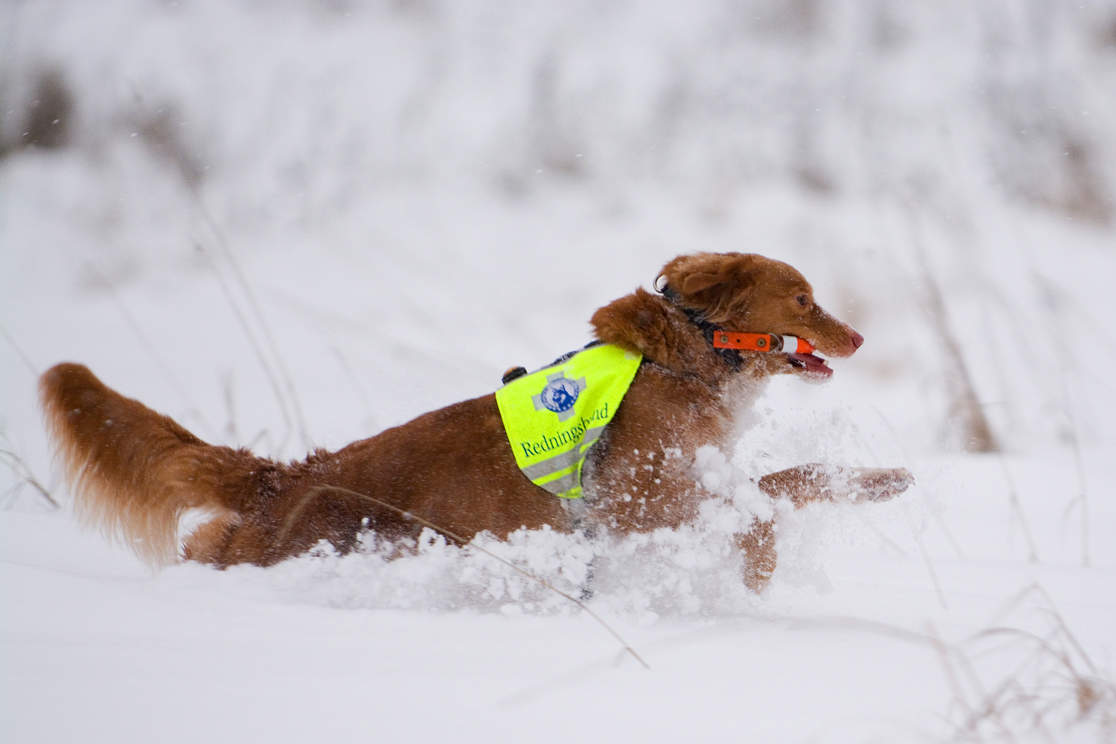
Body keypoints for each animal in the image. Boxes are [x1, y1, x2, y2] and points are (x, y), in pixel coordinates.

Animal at [41, 254, 915, 593]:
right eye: (802, 300)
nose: (858, 337)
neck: (690, 362)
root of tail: (284, 475)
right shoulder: (645, 501)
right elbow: (768, 493)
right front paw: (767, 560)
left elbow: (777, 481)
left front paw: (876, 481)